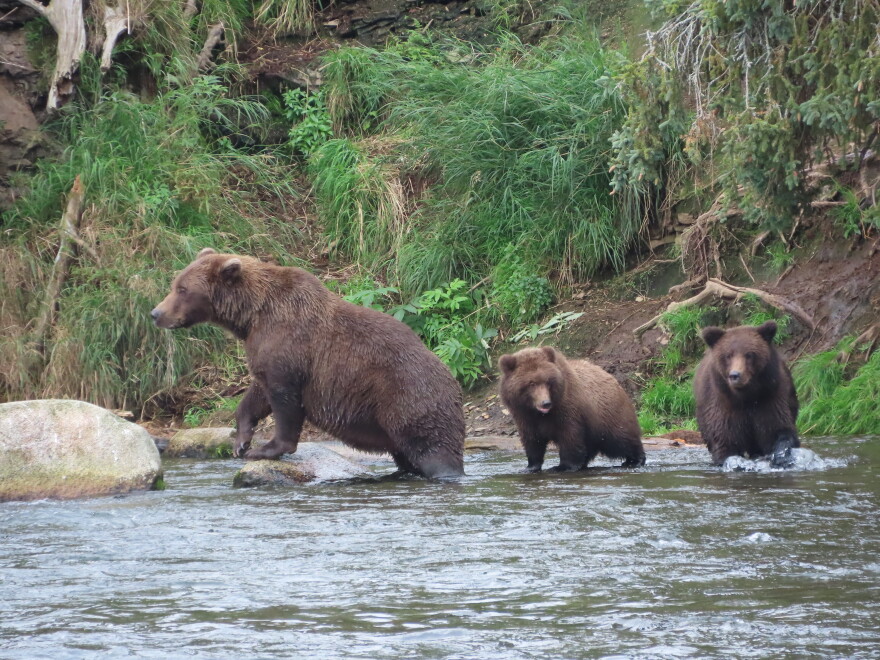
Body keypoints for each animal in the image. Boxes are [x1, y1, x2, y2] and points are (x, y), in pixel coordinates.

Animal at [151, 248, 465, 479]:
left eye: (182, 289)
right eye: (175, 284)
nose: (156, 313)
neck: (252, 316)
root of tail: (454, 383)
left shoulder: (290, 347)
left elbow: (285, 401)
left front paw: (265, 449)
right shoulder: (263, 349)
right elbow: (257, 393)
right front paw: (241, 441)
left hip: (409, 399)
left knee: (433, 450)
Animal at [498, 346, 645, 472]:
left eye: (548, 381)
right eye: (531, 383)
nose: (545, 403)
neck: (540, 414)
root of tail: (615, 381)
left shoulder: (568, 409)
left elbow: (570, 436)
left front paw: (563, 466)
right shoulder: (524, 416)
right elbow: (532, 440)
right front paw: (530, 466)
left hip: (607, 415)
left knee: (621, 439)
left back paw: (634, 460)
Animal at [693, 320, 800, 467]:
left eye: (749, 354)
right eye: (728, 355)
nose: (735, 375)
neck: (746, 397)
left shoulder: (770, 398)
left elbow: (779, 431)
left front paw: (781, 455)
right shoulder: (723, 407)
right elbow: (725, 441)